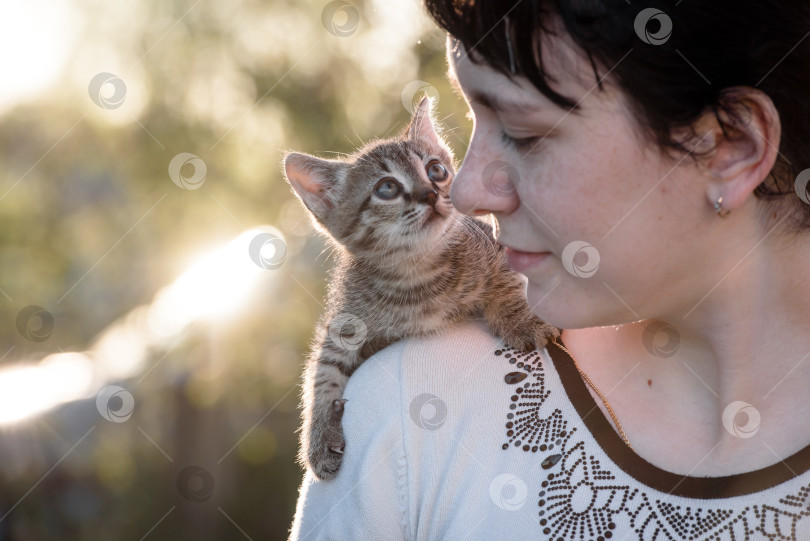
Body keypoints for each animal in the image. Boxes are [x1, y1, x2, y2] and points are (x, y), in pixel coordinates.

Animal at [282, 98, 556, 480]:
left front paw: (521, 320)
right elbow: (322, 372)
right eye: (386, 188)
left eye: (436, 169)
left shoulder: (493, 244)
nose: (431, 192)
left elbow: (507, 280)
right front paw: (319, 436)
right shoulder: (345, 322)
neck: (417, 274)